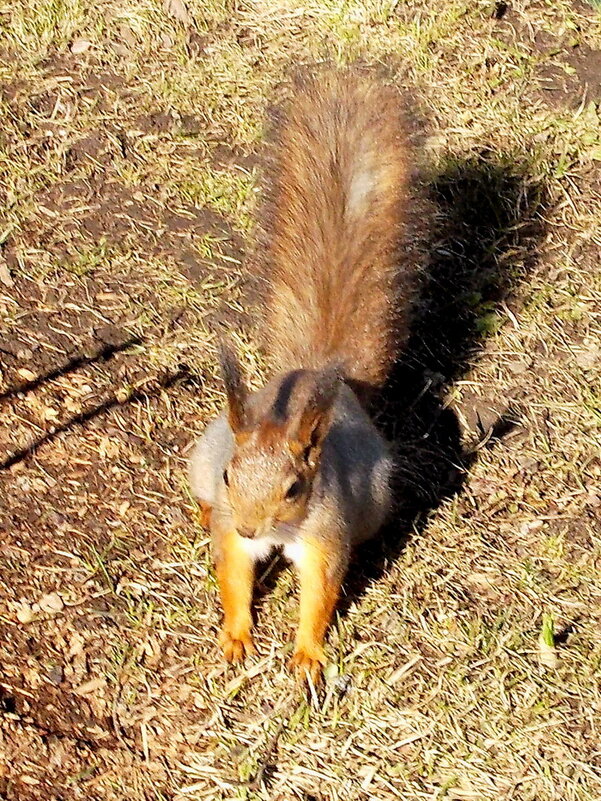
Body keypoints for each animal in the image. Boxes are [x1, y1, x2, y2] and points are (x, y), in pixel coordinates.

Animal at [190, 69, 410, 680]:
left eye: (294, 488)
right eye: (230, 476)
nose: (248, 526)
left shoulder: (324, 535)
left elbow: (320, 592)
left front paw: (308, 654)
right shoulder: (233, 531)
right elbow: (233, 576)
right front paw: (236, 635)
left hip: (375, 501)